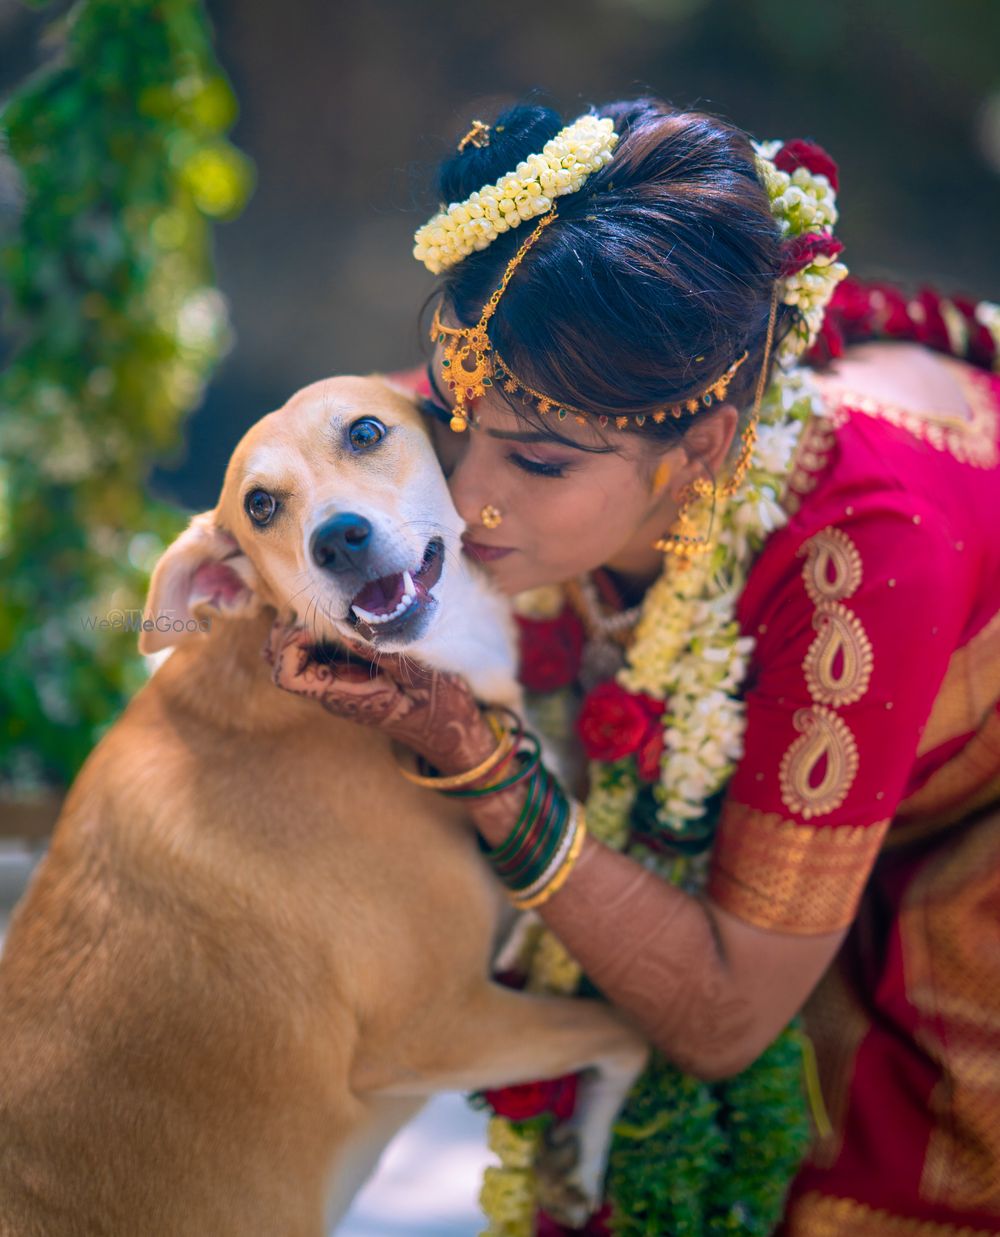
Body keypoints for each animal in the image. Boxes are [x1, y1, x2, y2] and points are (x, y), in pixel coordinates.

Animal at [0, 376, 648, 1237]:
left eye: (366, 431)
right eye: (261, 505)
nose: (338, 540)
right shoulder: (439, 1023)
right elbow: (624, 1028)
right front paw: (585, 1147)